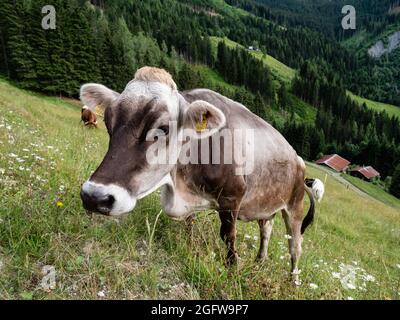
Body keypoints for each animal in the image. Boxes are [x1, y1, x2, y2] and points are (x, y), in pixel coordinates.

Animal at [79, 66, 320, 284]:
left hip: (294, 206)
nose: (94, 197)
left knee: (295, 246)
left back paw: (293, 280)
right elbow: (189, 225)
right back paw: (260, 262)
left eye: (163, 128)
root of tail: (297, 158)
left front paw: (232, 269)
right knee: (266, 230)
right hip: (267, 203)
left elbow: (228, 236)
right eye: (108, 120)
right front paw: (190, 246)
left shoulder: (232, 197)